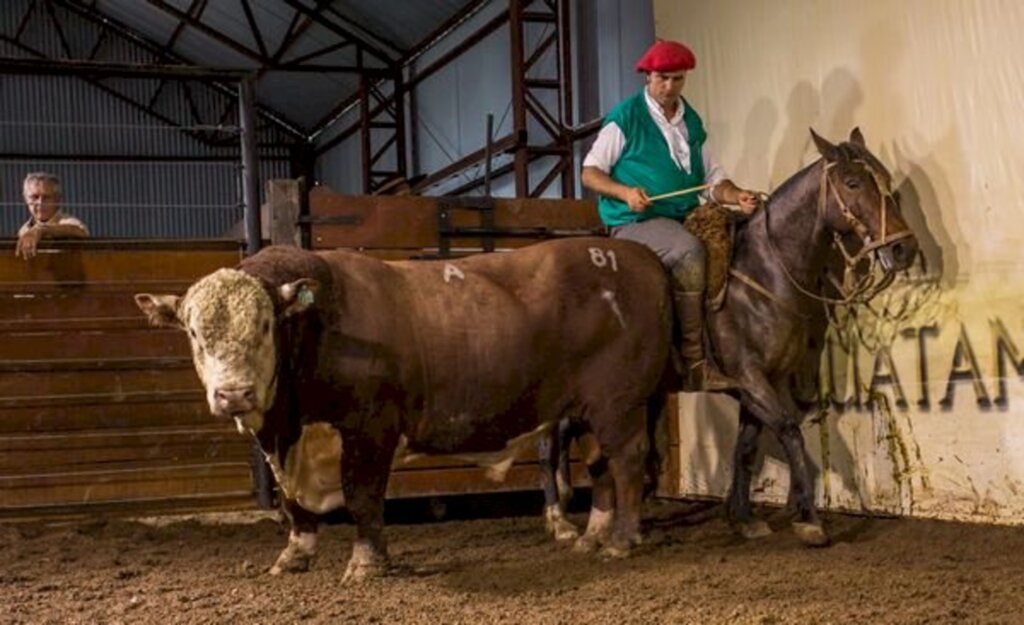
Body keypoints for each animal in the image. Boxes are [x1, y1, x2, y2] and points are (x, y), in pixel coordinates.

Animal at [134, 234, 671, 577]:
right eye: (194, 332)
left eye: (265, 326)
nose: (234, 394)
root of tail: (636, 255)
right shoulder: (285, 441)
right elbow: (292, 504)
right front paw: (295, 555)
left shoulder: (370, 427)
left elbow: (363, 496)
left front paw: (367, 562)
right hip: (586, 411)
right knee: (601, 467)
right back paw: (593, 536)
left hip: (619, 402)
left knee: (627, 461)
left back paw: (621, 540)